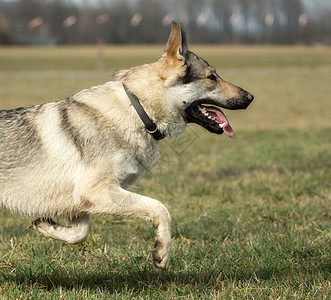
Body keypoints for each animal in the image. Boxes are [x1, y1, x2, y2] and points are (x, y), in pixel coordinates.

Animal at [0, 21, 254, 270]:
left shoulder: (82, 201)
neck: (139, 110)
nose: (251, 97)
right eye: (212, 77)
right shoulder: (97, 192)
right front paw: (162, 253)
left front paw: (45, 226)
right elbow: (161, 208)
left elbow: (79, 234)